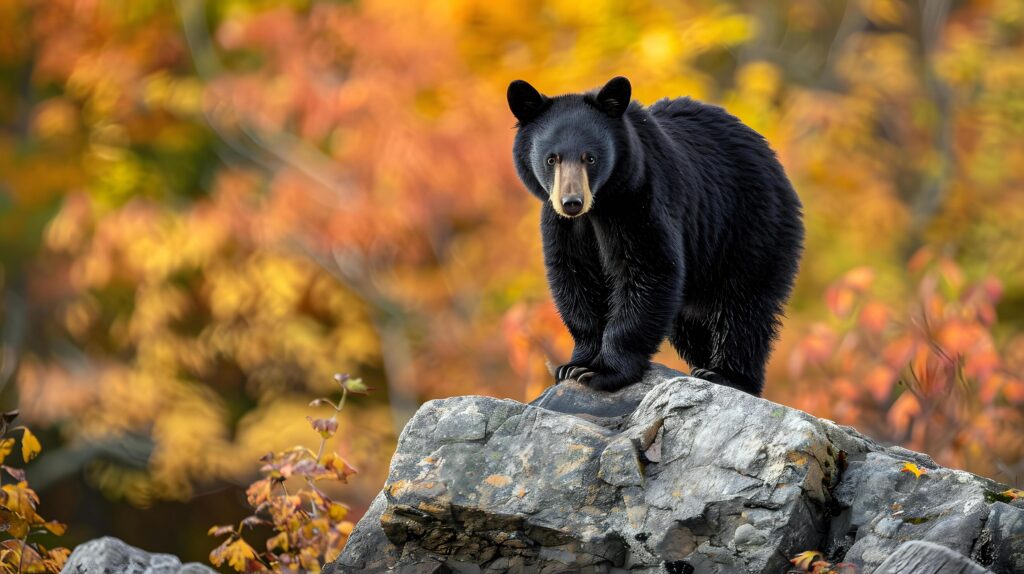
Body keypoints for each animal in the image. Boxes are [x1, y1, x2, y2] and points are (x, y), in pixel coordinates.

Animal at [507, 76, 804, 396]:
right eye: (552, 159)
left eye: (590, 158)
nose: (571, 202)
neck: (600, 206)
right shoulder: (564, 226)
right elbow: (575, 278)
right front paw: (575, 364)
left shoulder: (641, 199)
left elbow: (649, 269)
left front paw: (604, 371)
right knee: (688, 321)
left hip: (750, 226)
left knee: (743, 305)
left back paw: (726, 375)